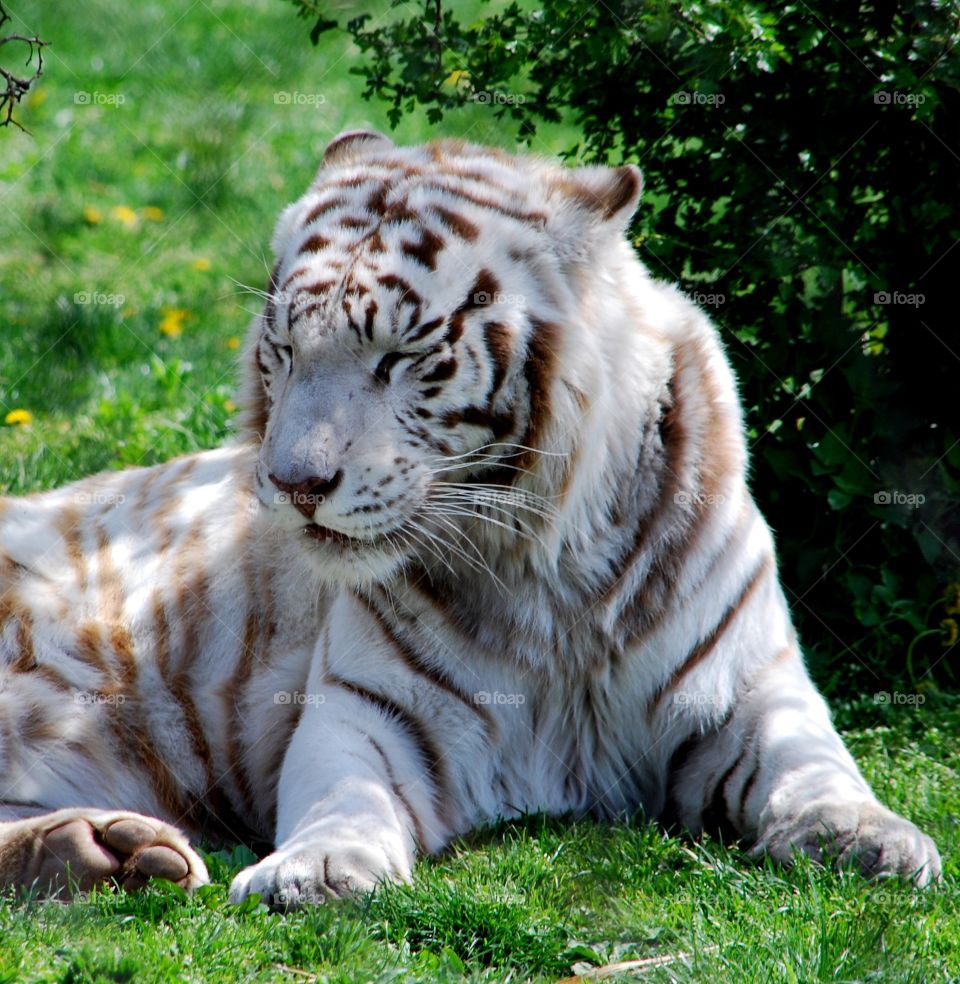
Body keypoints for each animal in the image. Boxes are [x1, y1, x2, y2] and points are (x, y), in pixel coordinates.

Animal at [0, 129, 940, 906]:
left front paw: (874, 840)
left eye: (399, 356)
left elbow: (816, 768)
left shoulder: (753, 689)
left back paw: (111, 851)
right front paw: (313, 872)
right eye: (285, 350)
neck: (549, 568)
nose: (294, 483)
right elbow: (345, 795)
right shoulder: (370, 711)